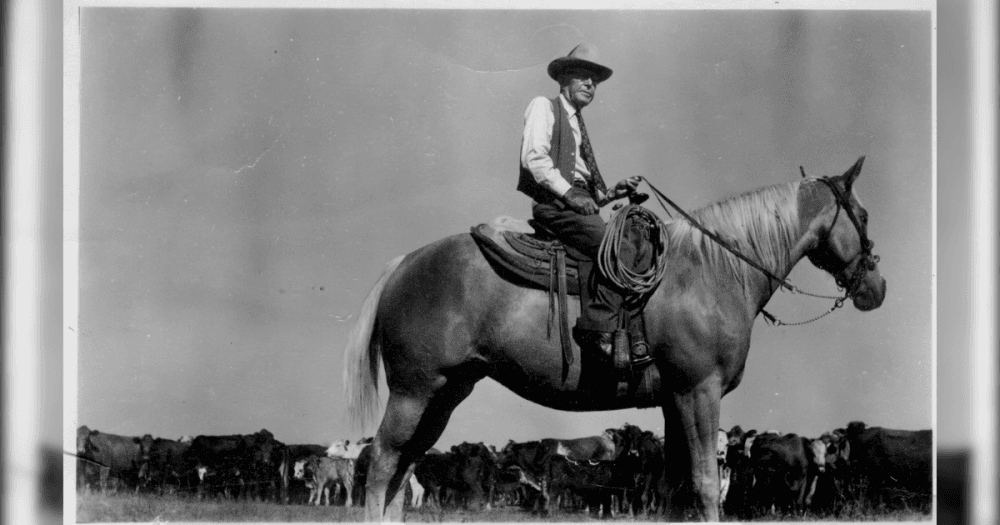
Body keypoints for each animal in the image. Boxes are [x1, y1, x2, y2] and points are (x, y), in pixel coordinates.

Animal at [343, 157, 886, 521]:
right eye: (862, 214)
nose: (876, 289)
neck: (714, 270)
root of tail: (404, 265)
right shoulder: (699, 392)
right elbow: (705, 484)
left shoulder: (673, 401)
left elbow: (673, 488)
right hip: (414, 391)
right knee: (384, 463)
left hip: (445, 394)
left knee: (404, 469)